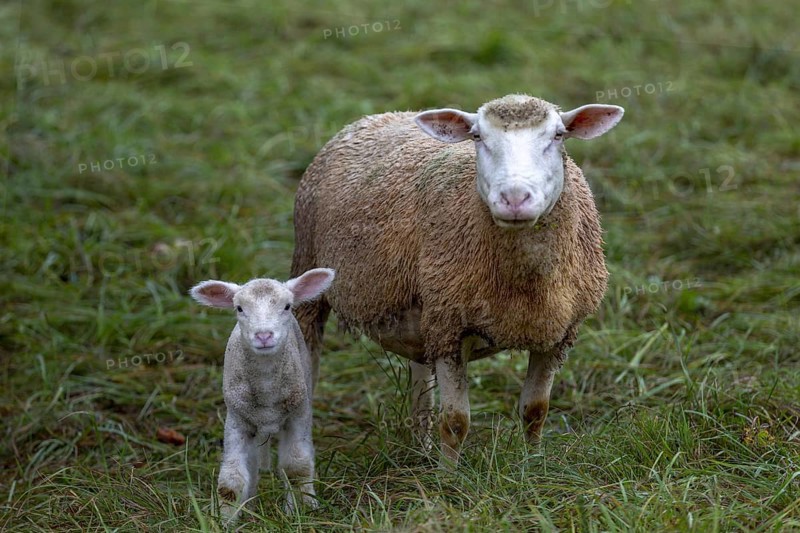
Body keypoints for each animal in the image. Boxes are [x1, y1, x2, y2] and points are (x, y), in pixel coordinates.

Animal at [190, 268, 335, 520]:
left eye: (287, 306)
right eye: (239, 308)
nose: (264, 336)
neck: (267, 387)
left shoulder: (297, 416)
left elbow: (297, 467)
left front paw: (299, 512)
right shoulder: (237, 421)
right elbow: (231, 480)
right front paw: (225, 520)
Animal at [291, 94, 624, 462]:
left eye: (558, 135)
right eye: (477, 136)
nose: (514, 199)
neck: (525, 283)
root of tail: (380, 116)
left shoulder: (559, 330)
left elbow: (536, 409)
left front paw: (533, 462)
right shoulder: (451, 326)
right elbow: (455, 422)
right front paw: (448, 474)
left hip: (424, 309)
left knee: (421, 385)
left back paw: (421, 449)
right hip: (310, 272)